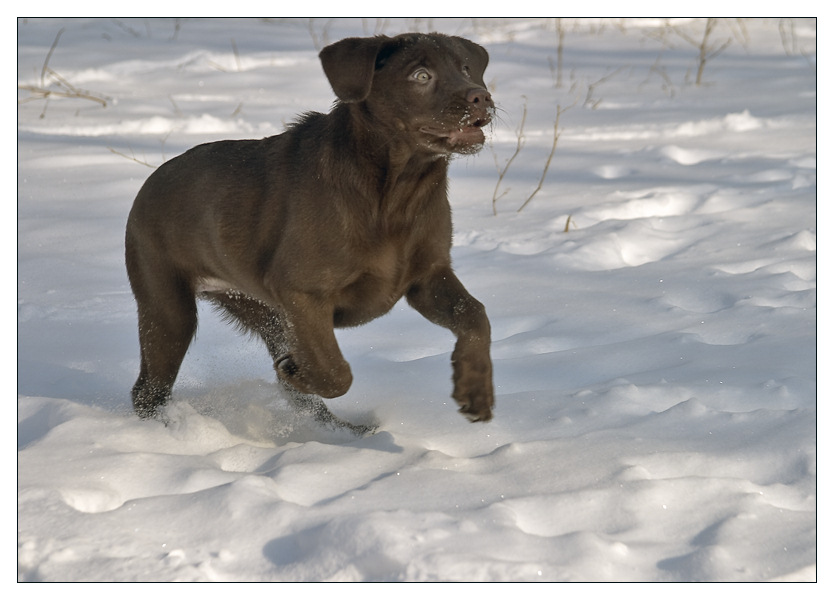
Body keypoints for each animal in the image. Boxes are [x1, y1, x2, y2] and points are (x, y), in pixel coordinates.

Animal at [123, 31, 494, 432]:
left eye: (466, 68)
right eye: (421, 76)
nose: (481, 96)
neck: (396, 191)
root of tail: (150, 181)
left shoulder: (428, 277)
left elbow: (476, 316)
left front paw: (475, 392)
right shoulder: (303, 293)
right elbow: (336, 371)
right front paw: (296, 371)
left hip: (263, 311)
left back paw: (343, 430)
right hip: (168, 307)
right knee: (148, 389)